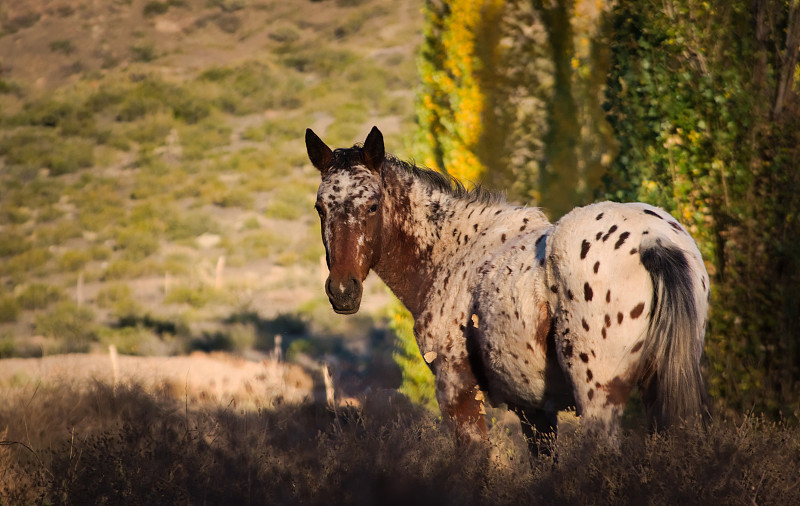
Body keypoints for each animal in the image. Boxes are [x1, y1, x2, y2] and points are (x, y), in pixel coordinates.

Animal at [306, 125, 712, 450]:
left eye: (373, 205)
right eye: (320, 208)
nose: (342, 291)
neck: (456, 252)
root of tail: (652, 241)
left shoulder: (459, 395)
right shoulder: (535, 412)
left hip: (599, 396)